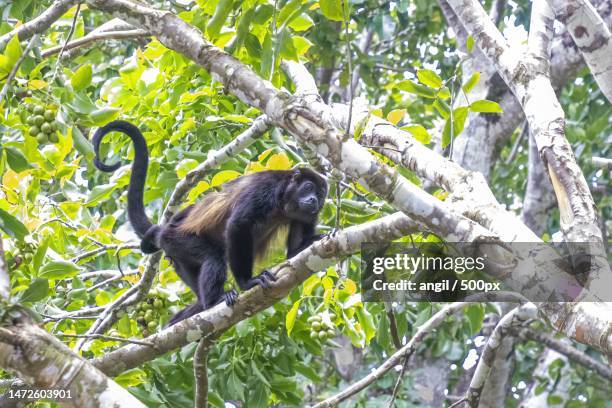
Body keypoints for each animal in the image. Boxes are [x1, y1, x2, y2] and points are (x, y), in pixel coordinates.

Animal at [92, 120, 328, 326]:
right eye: (308, 187)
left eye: (321, 194)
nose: (314, 200)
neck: (283, 201)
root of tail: (163, 233)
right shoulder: (264, 189)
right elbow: (238, 226)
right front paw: (247, 282)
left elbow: (293, 252)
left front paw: (316, 240)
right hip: (176, 240)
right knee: (214, 257)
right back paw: (214, 301)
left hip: (177, 259)